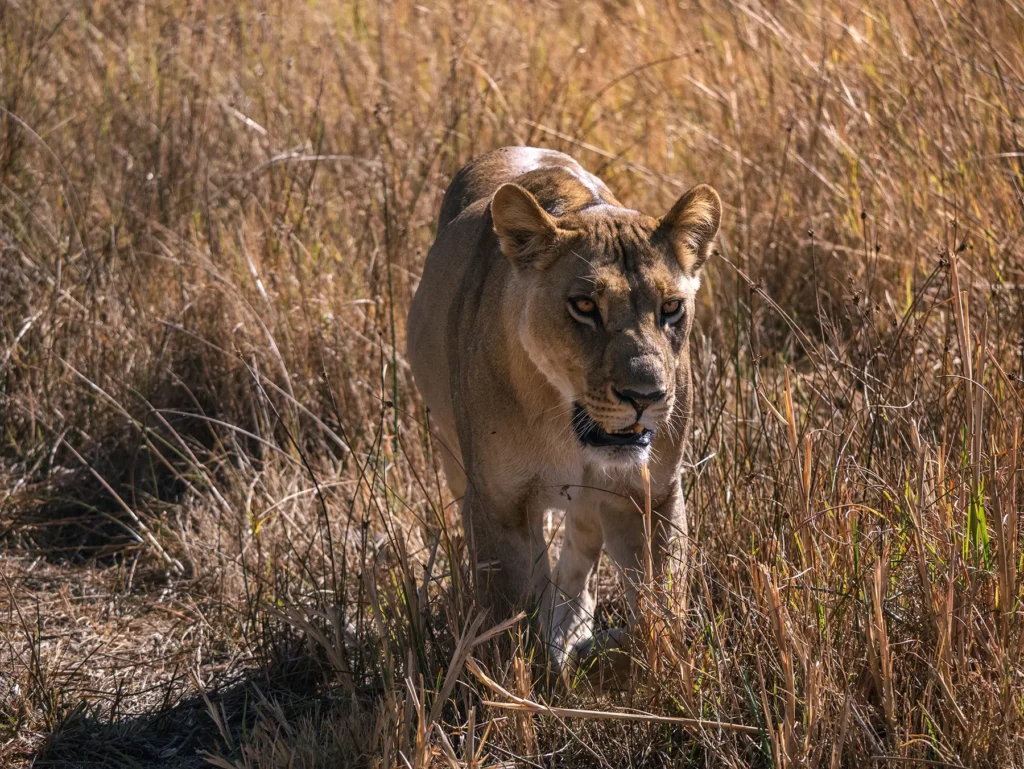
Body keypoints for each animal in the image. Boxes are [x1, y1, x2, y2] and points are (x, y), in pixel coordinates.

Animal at [407, 147, 721, 670]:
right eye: (584, 306)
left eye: (671, 308)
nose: (646, 396)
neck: (566, 429)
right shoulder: (497, 504)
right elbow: (504, 617)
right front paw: (512, 683)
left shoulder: (653, 492)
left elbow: (663, 601)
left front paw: (664, 669)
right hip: (453, 464)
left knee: (582, 545)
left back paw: (570, 628)